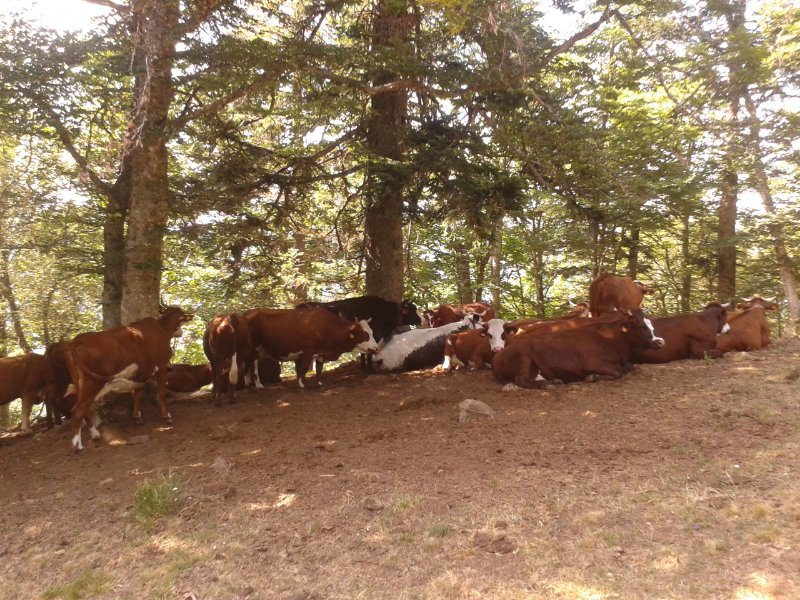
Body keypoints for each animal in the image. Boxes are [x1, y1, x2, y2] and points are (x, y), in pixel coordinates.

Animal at [64, 304, 194, 451]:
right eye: (182, 319)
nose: (181, 333)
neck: (163, 328)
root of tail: (77, 340)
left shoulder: (140, 373)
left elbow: (137, 393)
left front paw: (136, 417)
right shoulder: (162, 365)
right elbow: (161, 392)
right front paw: (167, 416)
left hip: (78, 382)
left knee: (85, 409)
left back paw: (95, 433)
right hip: (92, 383)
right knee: (78, 410)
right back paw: (78, 445)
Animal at [244, 307, 379, 388]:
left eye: (372, 332)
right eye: (364, 335)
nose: (376, 348)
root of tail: (247, 313)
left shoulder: (320, 353)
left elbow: (319, 369)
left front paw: (319, 383)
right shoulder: (308, 351)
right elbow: (303, 369)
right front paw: (301, 384)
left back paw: (249, 384)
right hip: (253, 349)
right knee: (252, 366)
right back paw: (257, 385)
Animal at [492, 309, 664, 388]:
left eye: (650, 323)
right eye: (640, 325)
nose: (660, 342)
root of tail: (498, 355)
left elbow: (630, 368)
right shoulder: (593, 363)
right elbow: (617, 373)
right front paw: (592, 377)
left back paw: (553, 380)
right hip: (524, 356)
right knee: (521, 380)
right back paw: (548, 383)